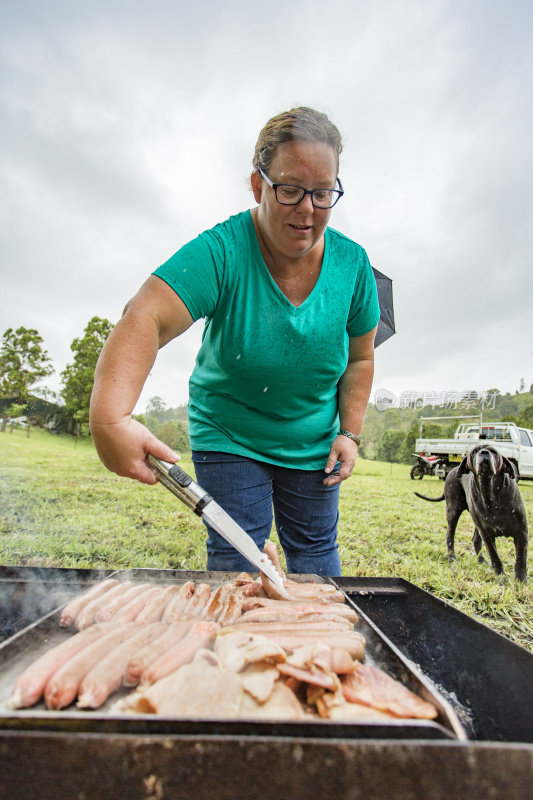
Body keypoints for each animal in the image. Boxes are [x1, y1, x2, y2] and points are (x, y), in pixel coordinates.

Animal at [416, 444, 528, 580]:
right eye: (474, 451)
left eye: (494, 451)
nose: (484, 452)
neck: (491, 493)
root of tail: (453, 470)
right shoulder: (487, 535)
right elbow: (495, 557)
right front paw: (501, 577)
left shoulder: (521, 532)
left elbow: (521, 559)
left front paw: (520, 580)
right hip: (454, 511)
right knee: (450, 535)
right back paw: (452, 557)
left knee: (475, 539)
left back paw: (481, 561)